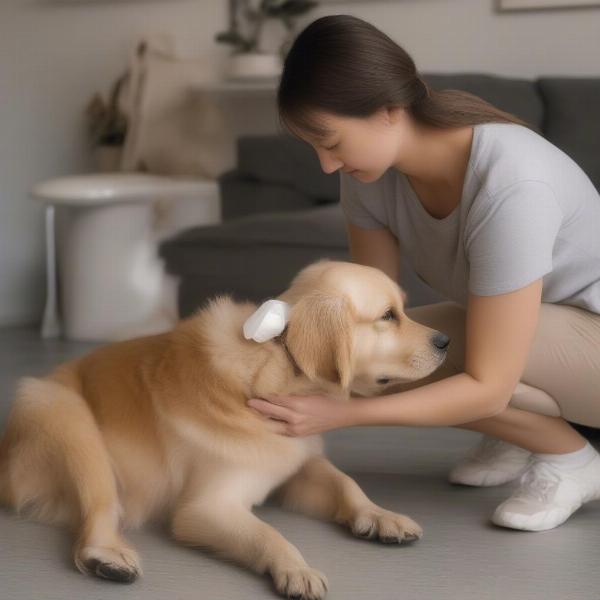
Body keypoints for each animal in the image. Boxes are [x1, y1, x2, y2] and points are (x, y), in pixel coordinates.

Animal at [0, 260, 448, 596]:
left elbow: (345, 484)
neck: (277, 365)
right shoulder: (205, 507)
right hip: (64, 413)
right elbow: (267, 533)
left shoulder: (296, 464)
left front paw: (379, 515)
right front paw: (296, 569)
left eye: (402, 310)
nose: (445, 341)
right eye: (388, 316)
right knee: (101, 507)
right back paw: (108, 555)